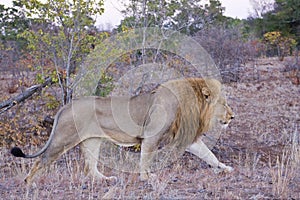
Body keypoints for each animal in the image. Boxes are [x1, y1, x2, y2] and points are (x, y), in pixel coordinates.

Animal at [10, 77, 233, 184]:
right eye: (223, 104)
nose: (232, 117)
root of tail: (66, 106)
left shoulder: (187, 137)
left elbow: (209, 154)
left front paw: (224, 168)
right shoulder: (151, 136)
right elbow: (146, 159)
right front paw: (146, 178)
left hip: (92, 141)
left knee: (90, 168)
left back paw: (106, 179)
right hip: (63, 138)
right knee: (41, 160)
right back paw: (29, 183)